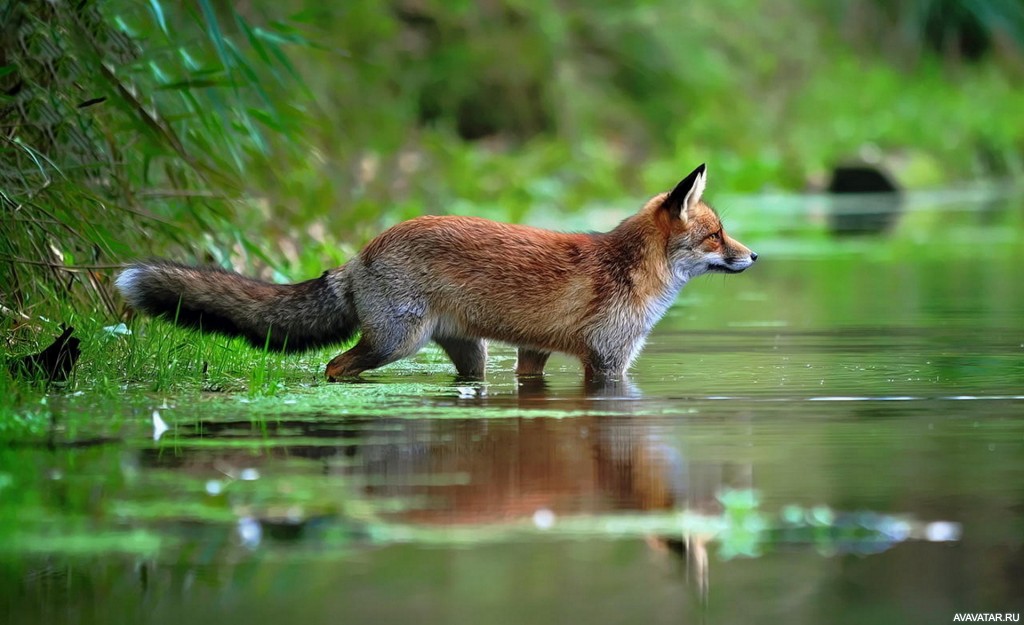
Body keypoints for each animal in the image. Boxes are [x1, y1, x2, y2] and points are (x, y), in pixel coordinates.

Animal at [116, 162, 757, 379]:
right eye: (716, 236)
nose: (754, 257)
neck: (629, 269)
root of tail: (359, 255)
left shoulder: (536, 353)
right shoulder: (607, 361)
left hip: (470, 355)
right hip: (395, 343)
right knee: (334, 366)